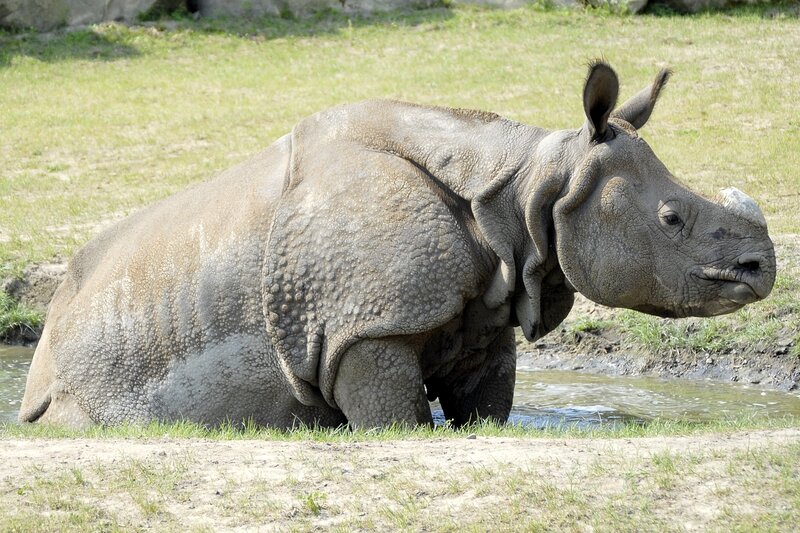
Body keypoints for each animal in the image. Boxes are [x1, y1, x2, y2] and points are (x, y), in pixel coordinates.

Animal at [19, 62, 776, 429]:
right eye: (672, 219)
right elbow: (398, 419)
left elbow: (484, 408)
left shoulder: (484, 311)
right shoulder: (361, 326)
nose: (761, 268)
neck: (528, 189)